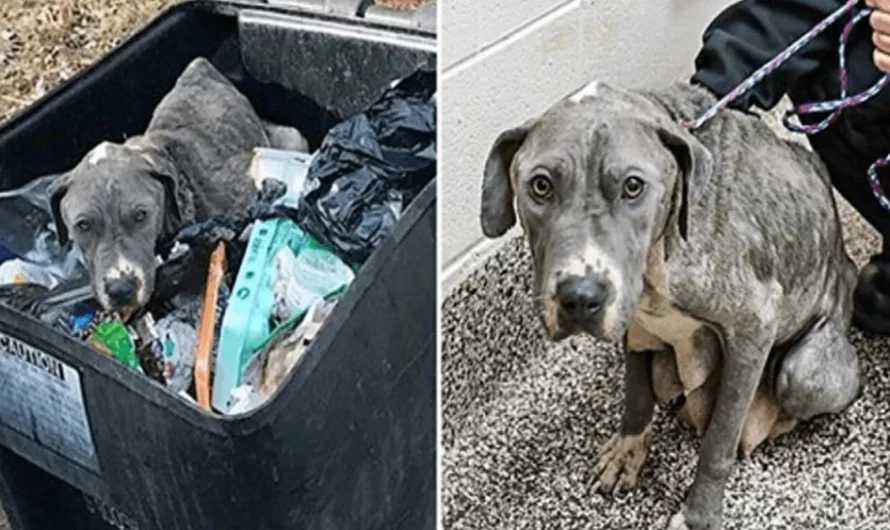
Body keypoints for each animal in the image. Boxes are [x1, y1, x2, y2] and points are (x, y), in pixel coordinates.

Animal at [478, 79, 860, 528]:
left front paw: (698, 514)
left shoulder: (753, 330)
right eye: (540, 185)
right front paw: (627, 453)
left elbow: (718, 443)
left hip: (805, 373)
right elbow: (637, 395)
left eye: (633, 186)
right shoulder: (635, 327)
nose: (580, 298)